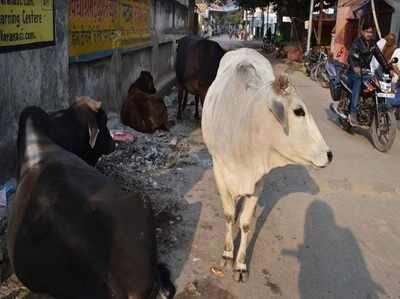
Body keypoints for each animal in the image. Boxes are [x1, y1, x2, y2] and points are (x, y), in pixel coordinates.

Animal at [203, 48, 332, 282]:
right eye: (299, 111)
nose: (329, 154)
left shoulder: (258, 180)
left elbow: (246, 224)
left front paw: (240, 265)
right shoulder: (219, 169)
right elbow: (228, 215)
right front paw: (227, 255)